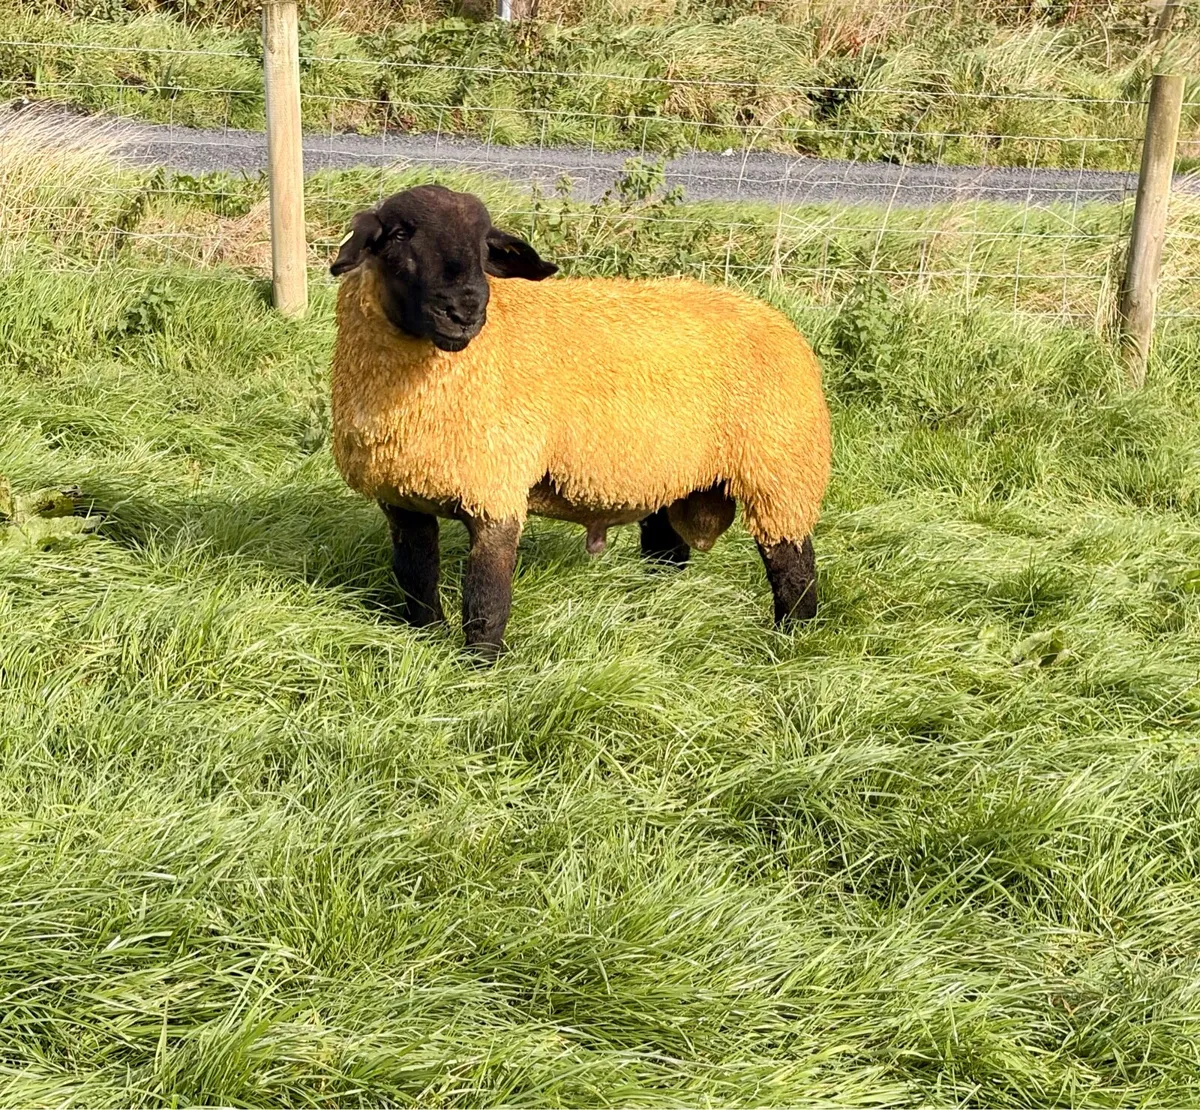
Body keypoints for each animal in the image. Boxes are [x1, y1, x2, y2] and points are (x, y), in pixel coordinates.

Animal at [329, 184, 831, 656]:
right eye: (398, 235)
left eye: (483, 246)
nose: (465, 309)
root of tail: (777, 319)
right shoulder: (401, 498)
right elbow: (416, 578)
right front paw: (427, 637)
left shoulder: (496, 490)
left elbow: (486, 600)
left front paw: (478, 669)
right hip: (672, 474)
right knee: (667, 550)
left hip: (781, 471)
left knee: (794, 571)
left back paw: (792, 641)